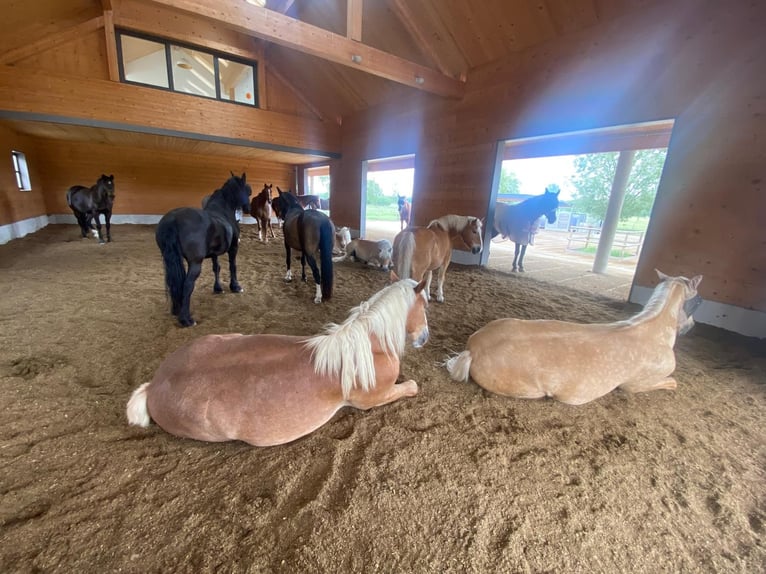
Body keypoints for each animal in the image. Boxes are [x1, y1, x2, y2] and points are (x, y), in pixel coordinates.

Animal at [126, 276, 430, 446]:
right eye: (425, 304)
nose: (425, 337)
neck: (369, 346)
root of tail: (153, 386)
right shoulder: (372, 400)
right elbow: (411, 387)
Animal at [155, 173, 252, 327]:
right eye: (248, 191)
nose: (248, 208)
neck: (223, 211)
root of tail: (173, 219)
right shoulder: (233, 248)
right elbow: (233, 266)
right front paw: (235, 287)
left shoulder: (214, 253)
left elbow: (216, 268)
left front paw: (218, 288)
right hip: (195, 263)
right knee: (187, 285)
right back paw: (186, 319)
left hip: (169, 260)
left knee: (173, 283)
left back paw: (176, 310)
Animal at [446, 270, 703, 405]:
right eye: (698, 299)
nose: (692, 327)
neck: (654, 331)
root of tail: (473, 350)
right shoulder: (636, 384)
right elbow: (672, 381)